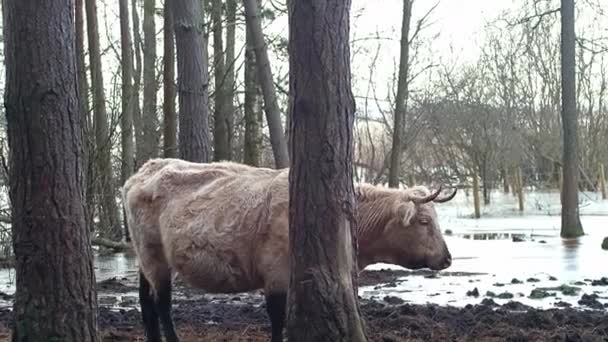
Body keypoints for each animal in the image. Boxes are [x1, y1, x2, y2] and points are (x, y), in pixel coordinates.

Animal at [123, 158, 456, 342]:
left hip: (143, 259)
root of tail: (141, 172)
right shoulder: (276, 272)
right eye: (424, 221)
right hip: (155, 257)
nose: (447, 257)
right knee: (161, 304)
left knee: (146, 302)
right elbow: (277, 317)